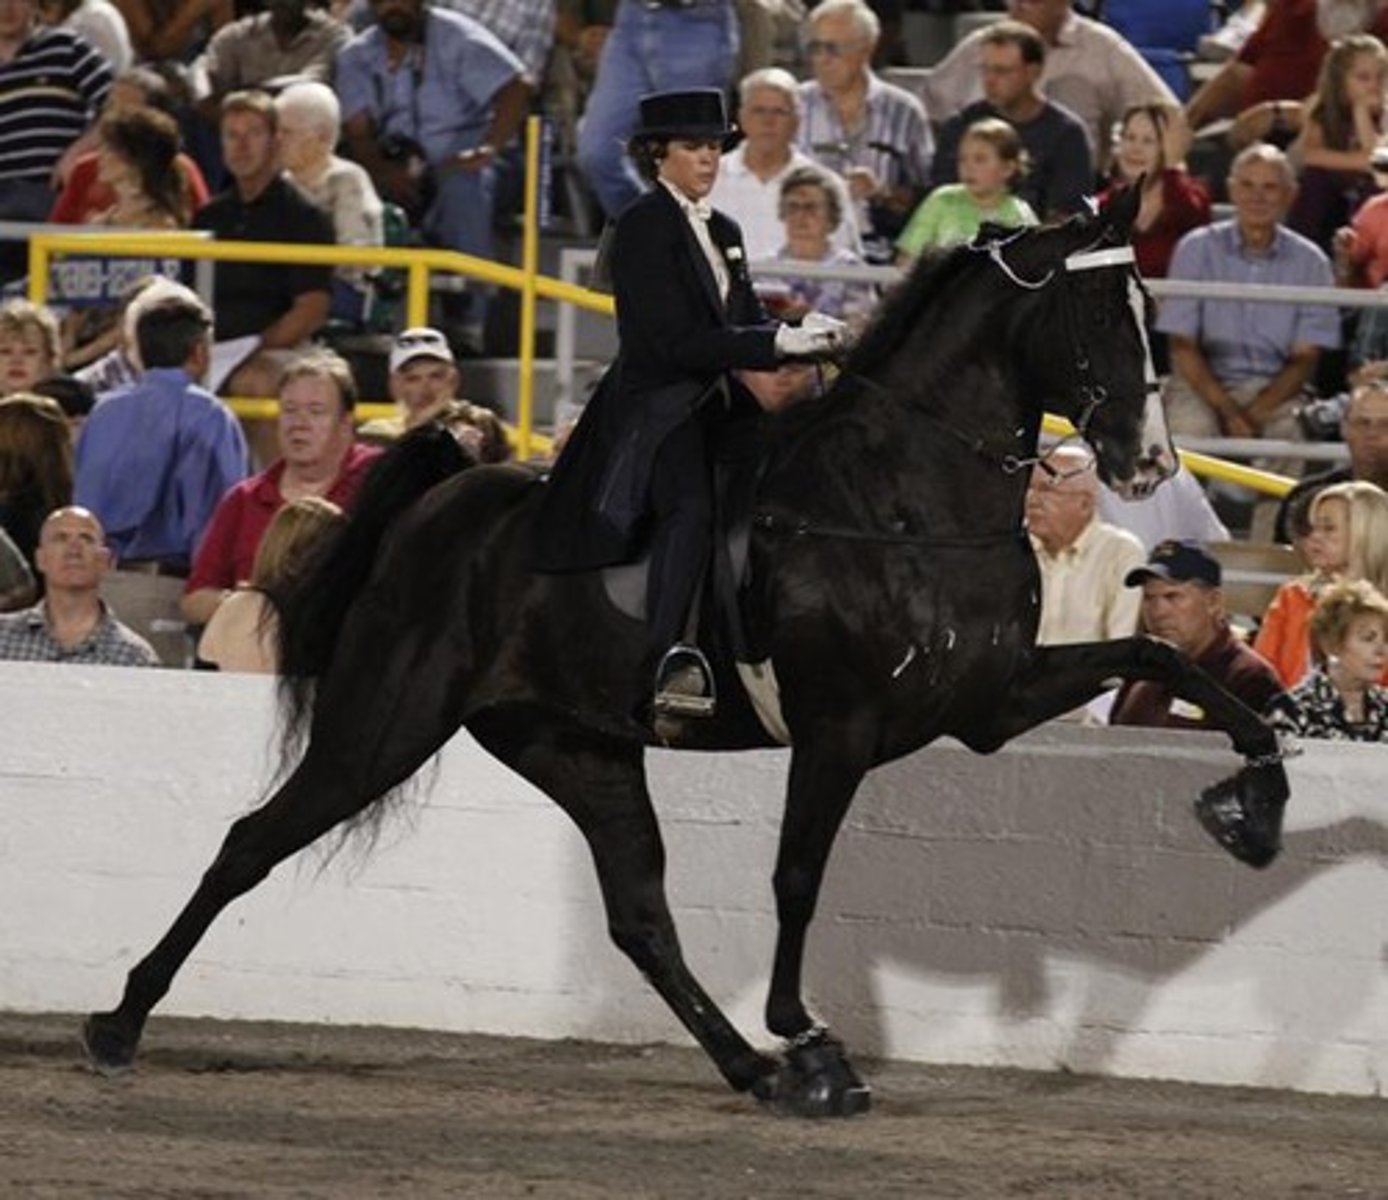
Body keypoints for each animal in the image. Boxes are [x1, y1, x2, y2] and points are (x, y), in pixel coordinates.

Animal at [82, 188, 1291, 1117]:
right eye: (1094, 309)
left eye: (1148, 310)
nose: (1146, 464)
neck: (903, 498)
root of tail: (447, 496)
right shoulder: (839, 724)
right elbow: (797, 876)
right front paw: (809, 1034)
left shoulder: (984, 703)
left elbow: (1168, 660)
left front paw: (1253, 809)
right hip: (384, 721)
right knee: (252, 841)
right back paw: (116, 1022)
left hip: (576, 747)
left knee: (640, 919)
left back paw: (749, 1071)